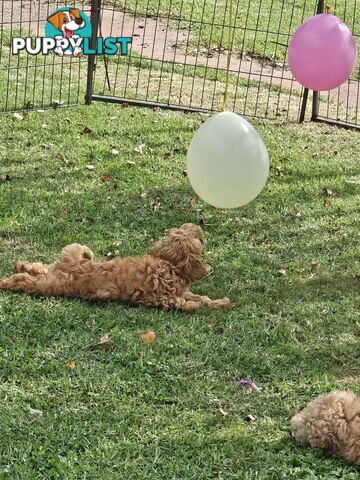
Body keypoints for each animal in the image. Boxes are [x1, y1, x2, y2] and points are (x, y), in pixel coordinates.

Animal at [0, 222, 233, 312]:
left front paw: (220, 302)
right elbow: (192, 304)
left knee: (38, 267)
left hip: (56, 268)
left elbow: (202, 298)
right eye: (199, 239)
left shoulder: (181, 291)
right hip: (46, 284)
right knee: (24, 280)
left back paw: (21, 265)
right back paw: (7, 280)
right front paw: (209, 305)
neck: (168, 263)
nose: (197, 225)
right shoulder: (166, 299)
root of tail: (71, 267)